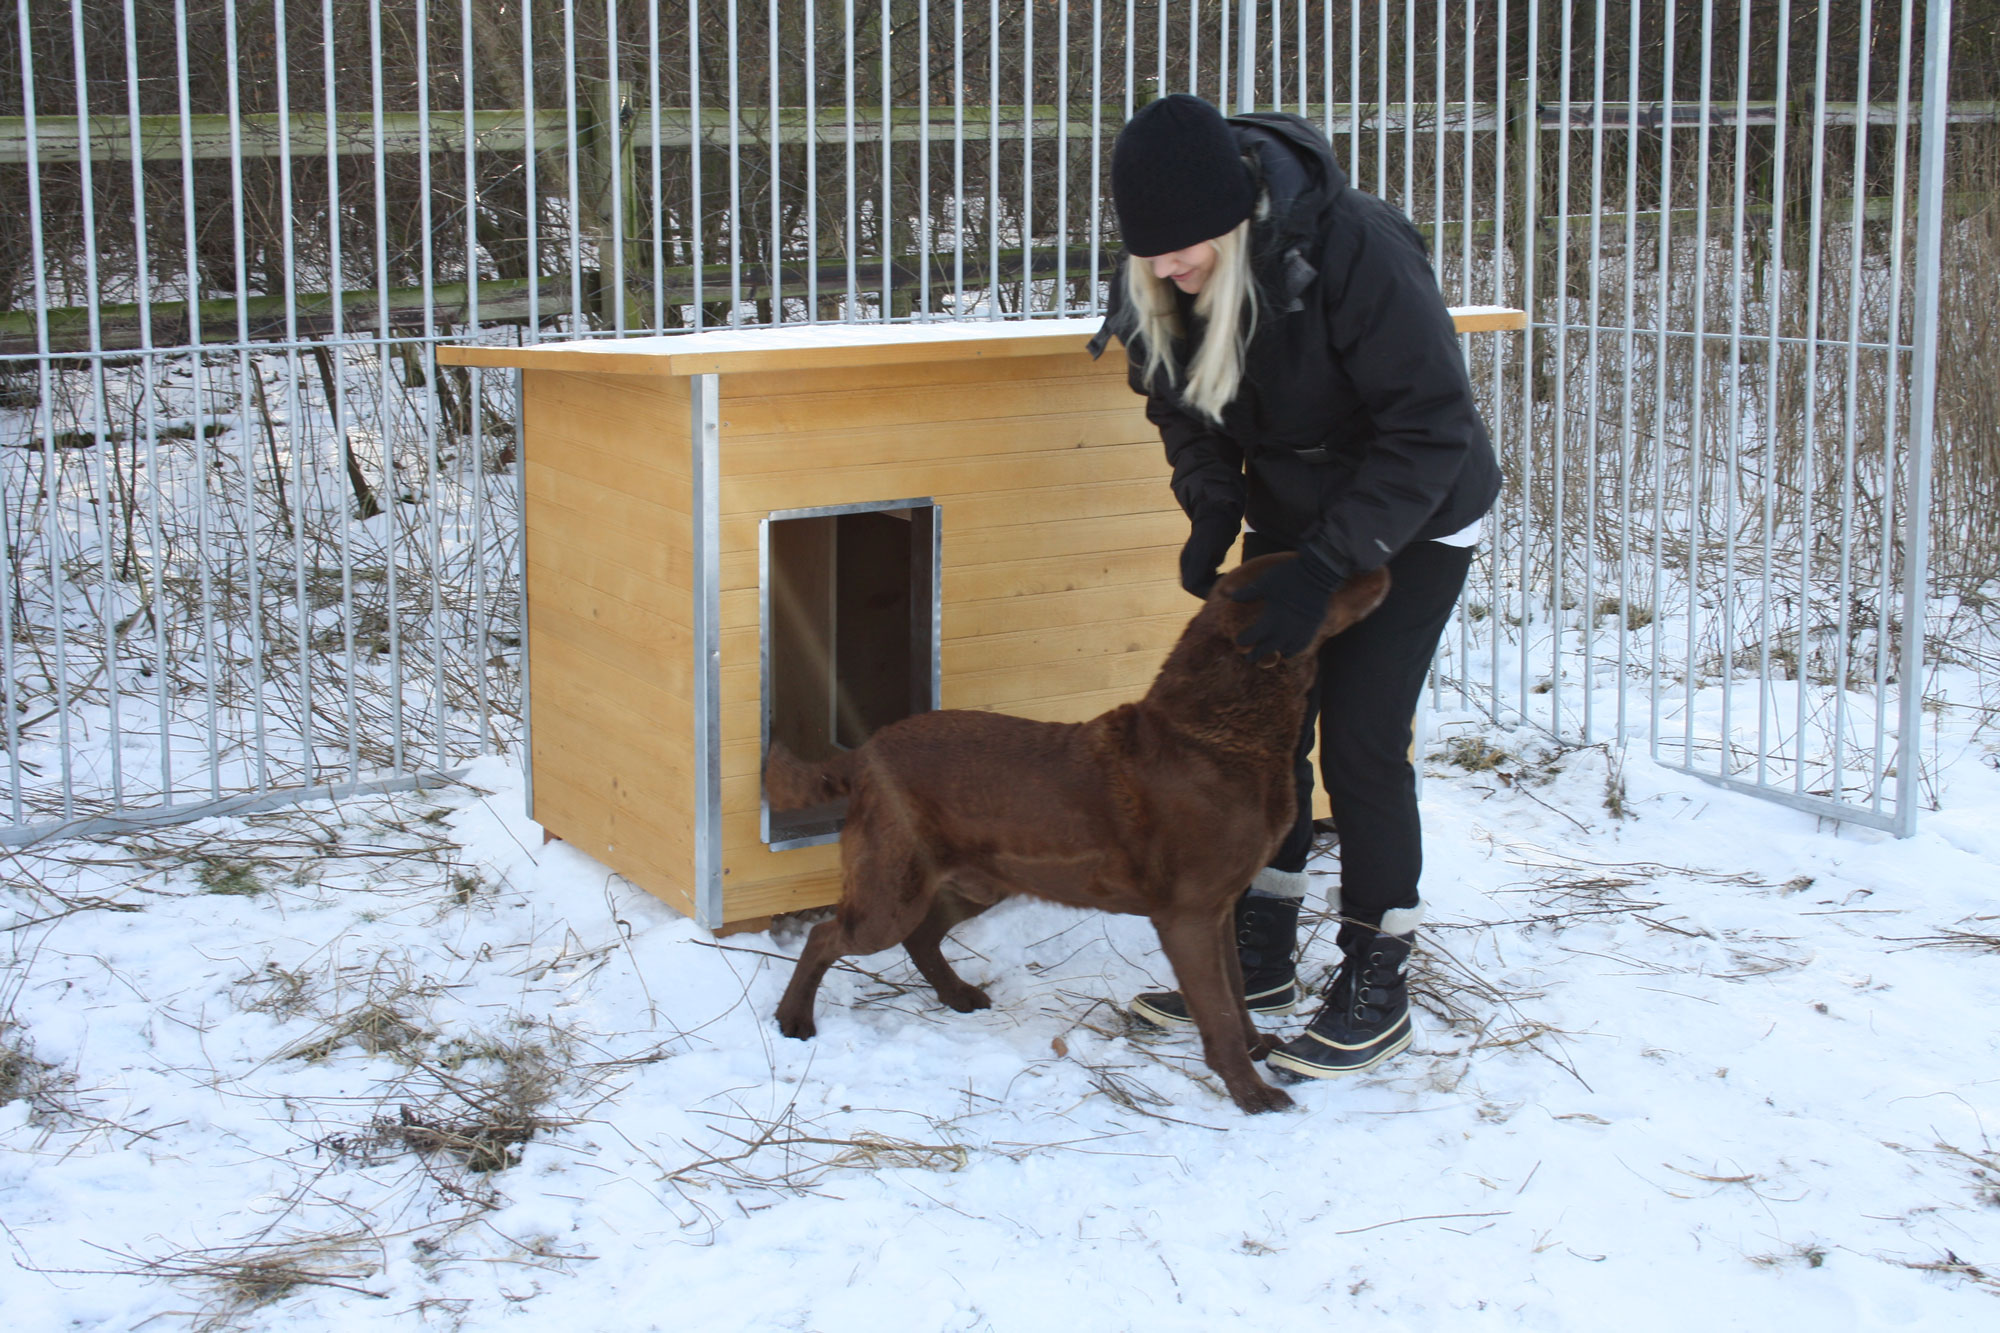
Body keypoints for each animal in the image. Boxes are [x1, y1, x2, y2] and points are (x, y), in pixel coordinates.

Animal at [764, 548, 1392, 1112]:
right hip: (892, 890)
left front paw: (1260, 1049)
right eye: (1320, 577)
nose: (1385, 562)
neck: (1219, 732)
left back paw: (958, 994)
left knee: (920, 937)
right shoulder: (1188, 913)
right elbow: (1217, 1011)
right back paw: (793, 1020)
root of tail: (865, 752)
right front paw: (1251, 1093)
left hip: (980, 881)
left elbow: (1237, 995)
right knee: (828, 935)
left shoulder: (1221, 907)